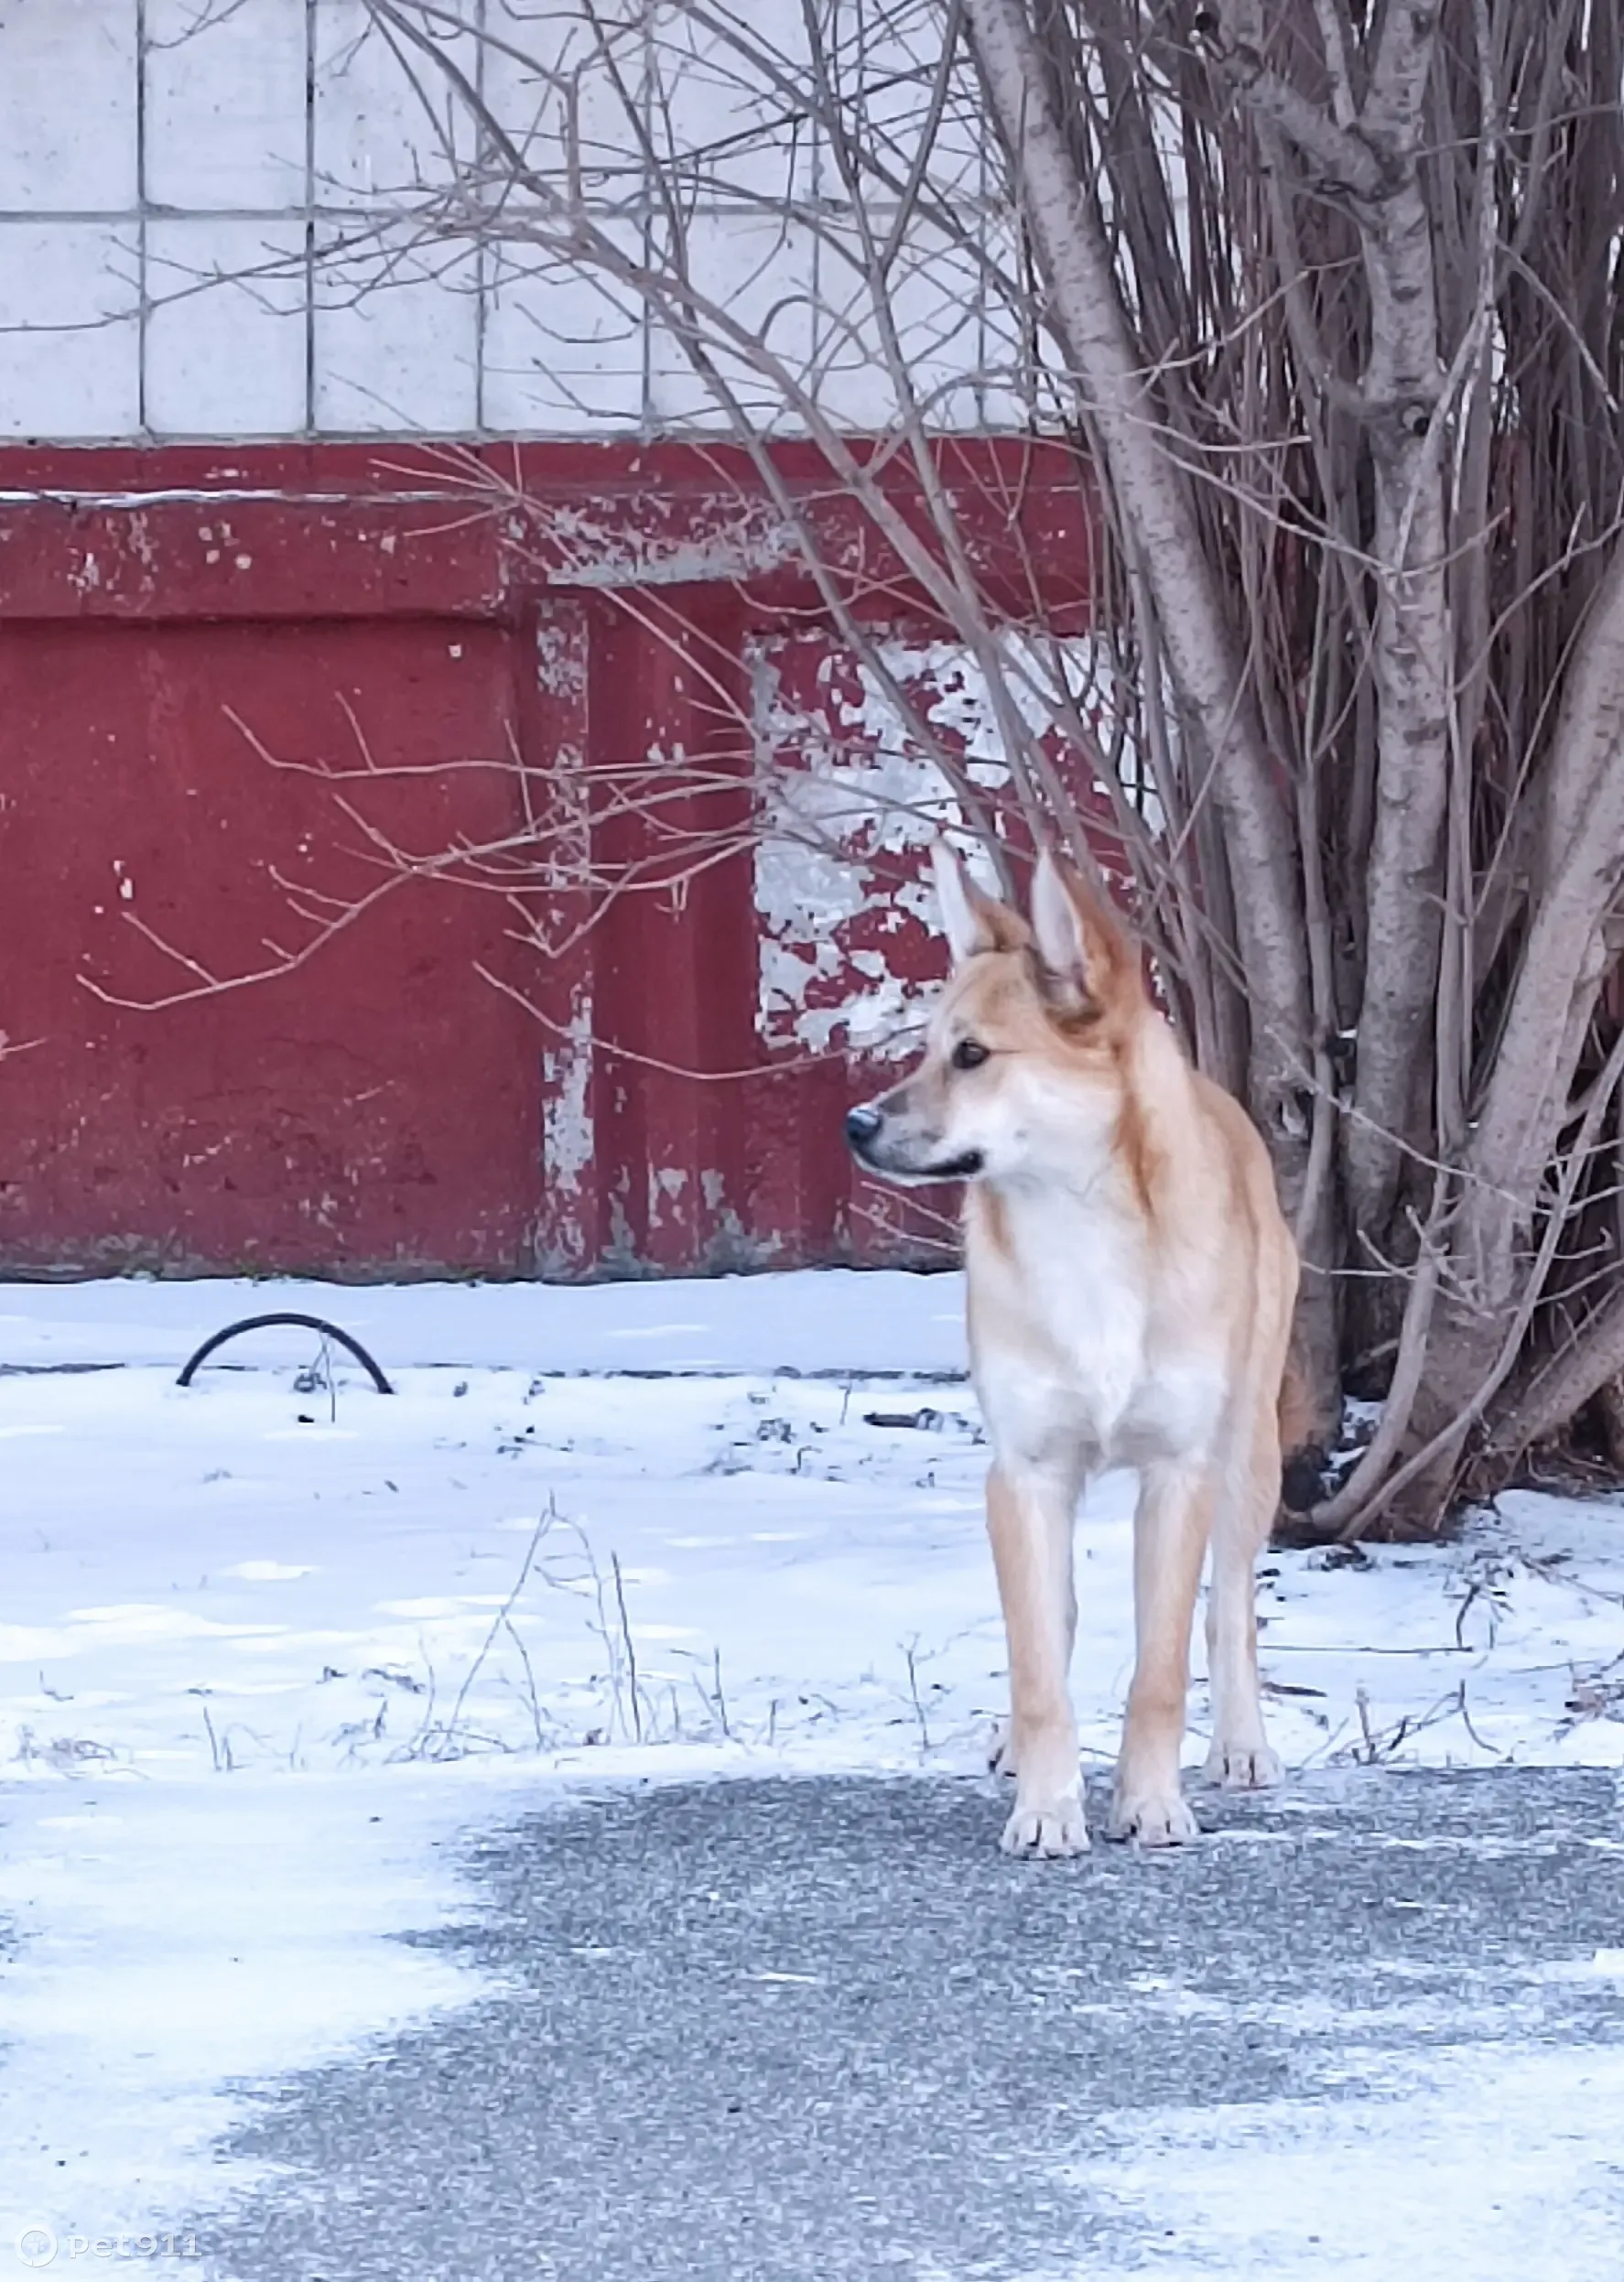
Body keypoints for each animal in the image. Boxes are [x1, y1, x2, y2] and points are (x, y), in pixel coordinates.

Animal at [843, 849, 1305, 1862]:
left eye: (973, 1055)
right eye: (926, 1047)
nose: (854, 1125)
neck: (1084, 1226)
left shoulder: (1179, 1474)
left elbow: (1163, 1666)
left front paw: (1151, 1802)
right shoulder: (1023, 1472)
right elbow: (1038, 1667)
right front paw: (1048, 1805)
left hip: (1248, 1451)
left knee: (1230, 1608)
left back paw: (1242, 1740)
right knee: (1051, 1623)